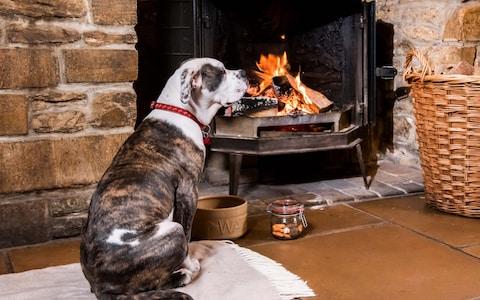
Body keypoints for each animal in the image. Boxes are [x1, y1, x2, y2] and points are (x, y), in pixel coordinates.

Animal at [79, 57, 248, 298]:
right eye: (221, 73)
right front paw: (189, 261)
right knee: (157, 279)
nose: (243, 72)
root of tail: (99, 285)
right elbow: (188, 233)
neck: (180, 110)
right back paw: (185, 273)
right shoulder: (188, 191)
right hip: (172, 231)